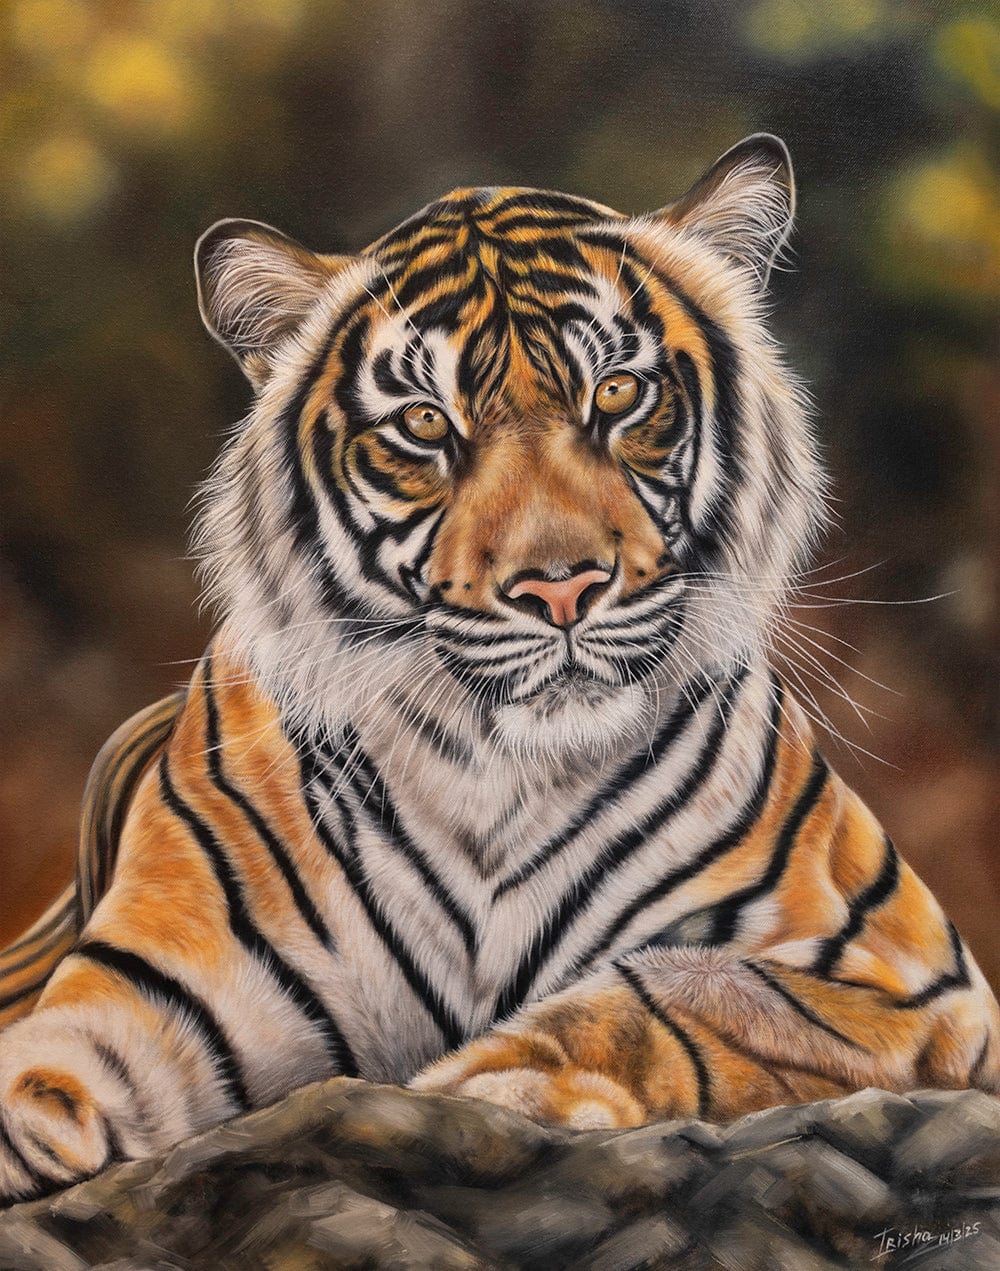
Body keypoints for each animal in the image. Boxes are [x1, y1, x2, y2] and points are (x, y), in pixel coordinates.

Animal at [1, 133, 997, 1205]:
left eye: (617, 394)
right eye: (425, 424)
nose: (562, 589)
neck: (497, 775)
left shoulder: (906, 972)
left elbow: (681, 988)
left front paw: (492, 1082)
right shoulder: (151, 980)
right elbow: (47, 1060)